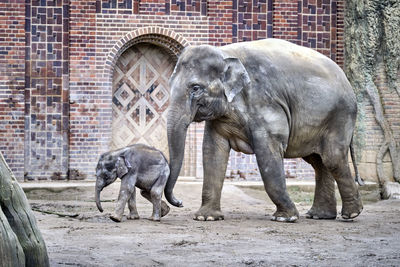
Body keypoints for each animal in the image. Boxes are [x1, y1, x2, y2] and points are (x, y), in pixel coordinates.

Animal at [164, 38, 364, 223]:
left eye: (196, 88)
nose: (180, 202)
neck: (225, 53)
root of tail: (347, 81)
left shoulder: (266, 103)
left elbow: (267, 153)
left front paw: (285, 218)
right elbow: (212, 152)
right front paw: (206, 217)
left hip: (339, 116)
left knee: (332, 158)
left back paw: (351, 214)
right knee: (319, 162)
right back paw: (320, 216)